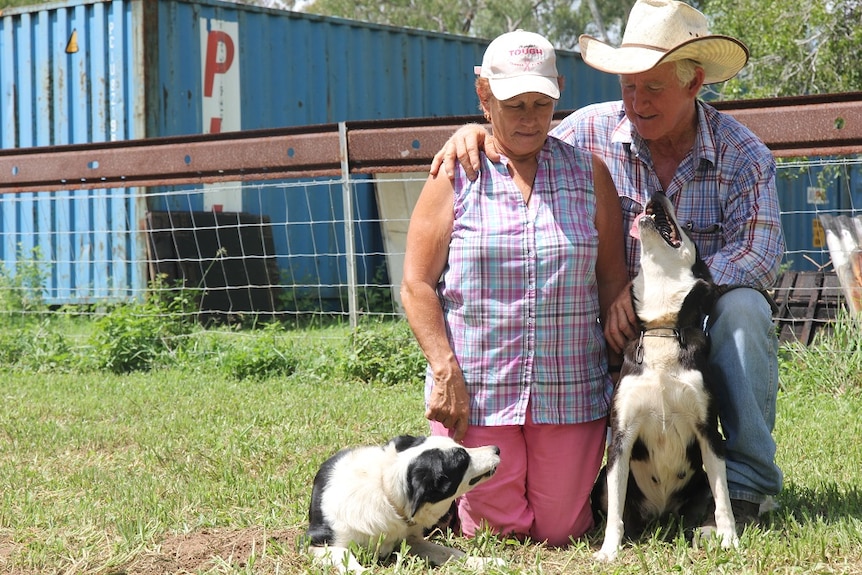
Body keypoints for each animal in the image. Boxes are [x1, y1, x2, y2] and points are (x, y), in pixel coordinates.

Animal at [308, 434, 502, 572]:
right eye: (463, 460)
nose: (496, 449)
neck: (386, 489)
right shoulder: (316, 542)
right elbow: (348, 559)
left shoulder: (411, 540)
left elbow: (449, 551)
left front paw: (484, 561)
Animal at [592, 194, 744, 564]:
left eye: (687, 226)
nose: (657, 195)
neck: (662, 329)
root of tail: (659, 514)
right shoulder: (621, 437)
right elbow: (615, 512)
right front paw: (608, 550)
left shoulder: (708, 432)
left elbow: (724, 501)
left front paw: (730, 540)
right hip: (601, 481)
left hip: (701, 481)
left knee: (708, 503)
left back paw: (704, 532)